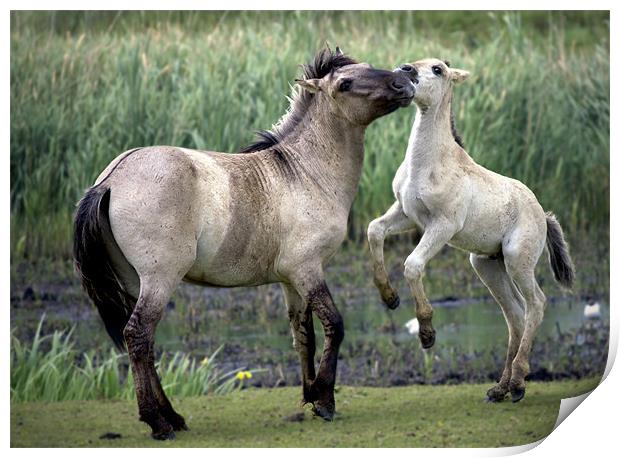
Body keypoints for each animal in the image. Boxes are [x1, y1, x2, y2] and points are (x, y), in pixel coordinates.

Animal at [72, 47, 414, 440]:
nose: (404, 81)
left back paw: (173, 417)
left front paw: (310, 395)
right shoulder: (308, 270)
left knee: (143, 342)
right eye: (344, 84)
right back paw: (159, 423)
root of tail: (109, 181)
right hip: (159, 279)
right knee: (138, 335)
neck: (305, 173)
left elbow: (304, 335)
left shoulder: (291, 281)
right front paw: (325, 401)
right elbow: (335, 325)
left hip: (134, 281)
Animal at [368, 58, 576, 400]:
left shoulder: (442, 225)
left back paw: (518, 382)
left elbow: (413, 265)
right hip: (487, 266)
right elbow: (374, 230)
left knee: (536, 304)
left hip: (518, 261)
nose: (405, 70)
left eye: (437, 69)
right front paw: (389, 297)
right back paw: (501, 388)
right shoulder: (406, 214)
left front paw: (427, 333)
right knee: (514, 314)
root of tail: (542, 215)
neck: (427, 165)